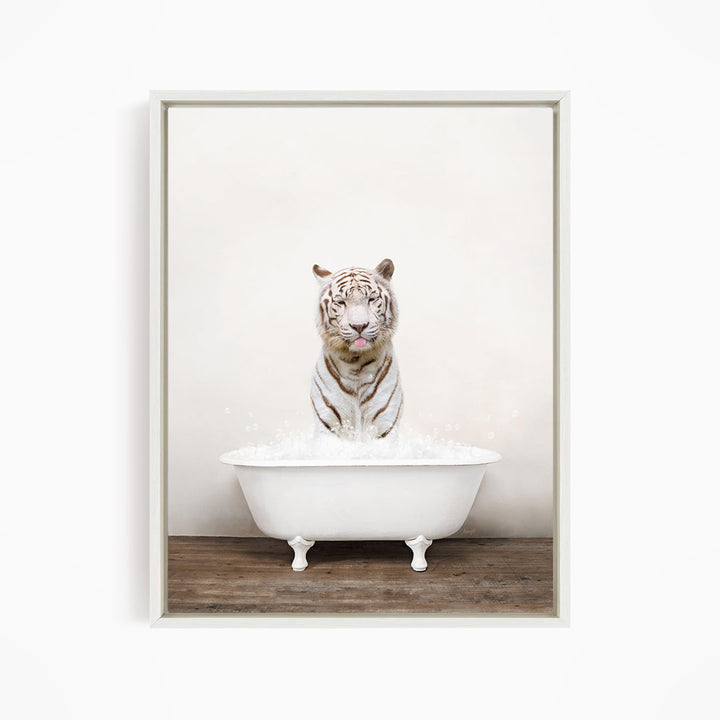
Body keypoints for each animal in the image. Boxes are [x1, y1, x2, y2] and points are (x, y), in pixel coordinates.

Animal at [310, 258, 403, 441]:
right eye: (341, 302)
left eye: (371, 299)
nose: (359, 326)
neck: (356, 362)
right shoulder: (328, 423)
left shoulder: (384, 425)